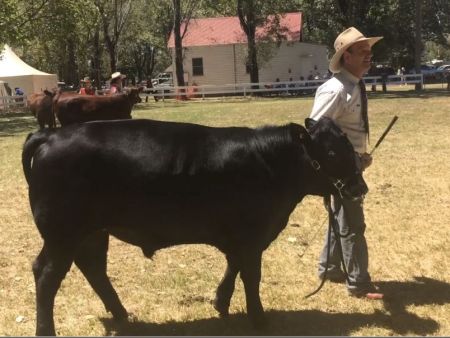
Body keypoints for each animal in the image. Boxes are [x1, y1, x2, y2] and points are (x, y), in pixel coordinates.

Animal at [22, 117, 366, 336]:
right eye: (332, 152)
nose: (359, 187)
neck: (268, 161)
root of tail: (52, 135)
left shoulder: (239, 237)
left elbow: (234, 266)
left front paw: (221, 301)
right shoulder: (252, 235)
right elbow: (251, 276)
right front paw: (258, 318)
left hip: (93, 232)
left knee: (92, 267)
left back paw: (121, 314)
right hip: (62, 232)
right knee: (47, 274)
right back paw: (46, 330)